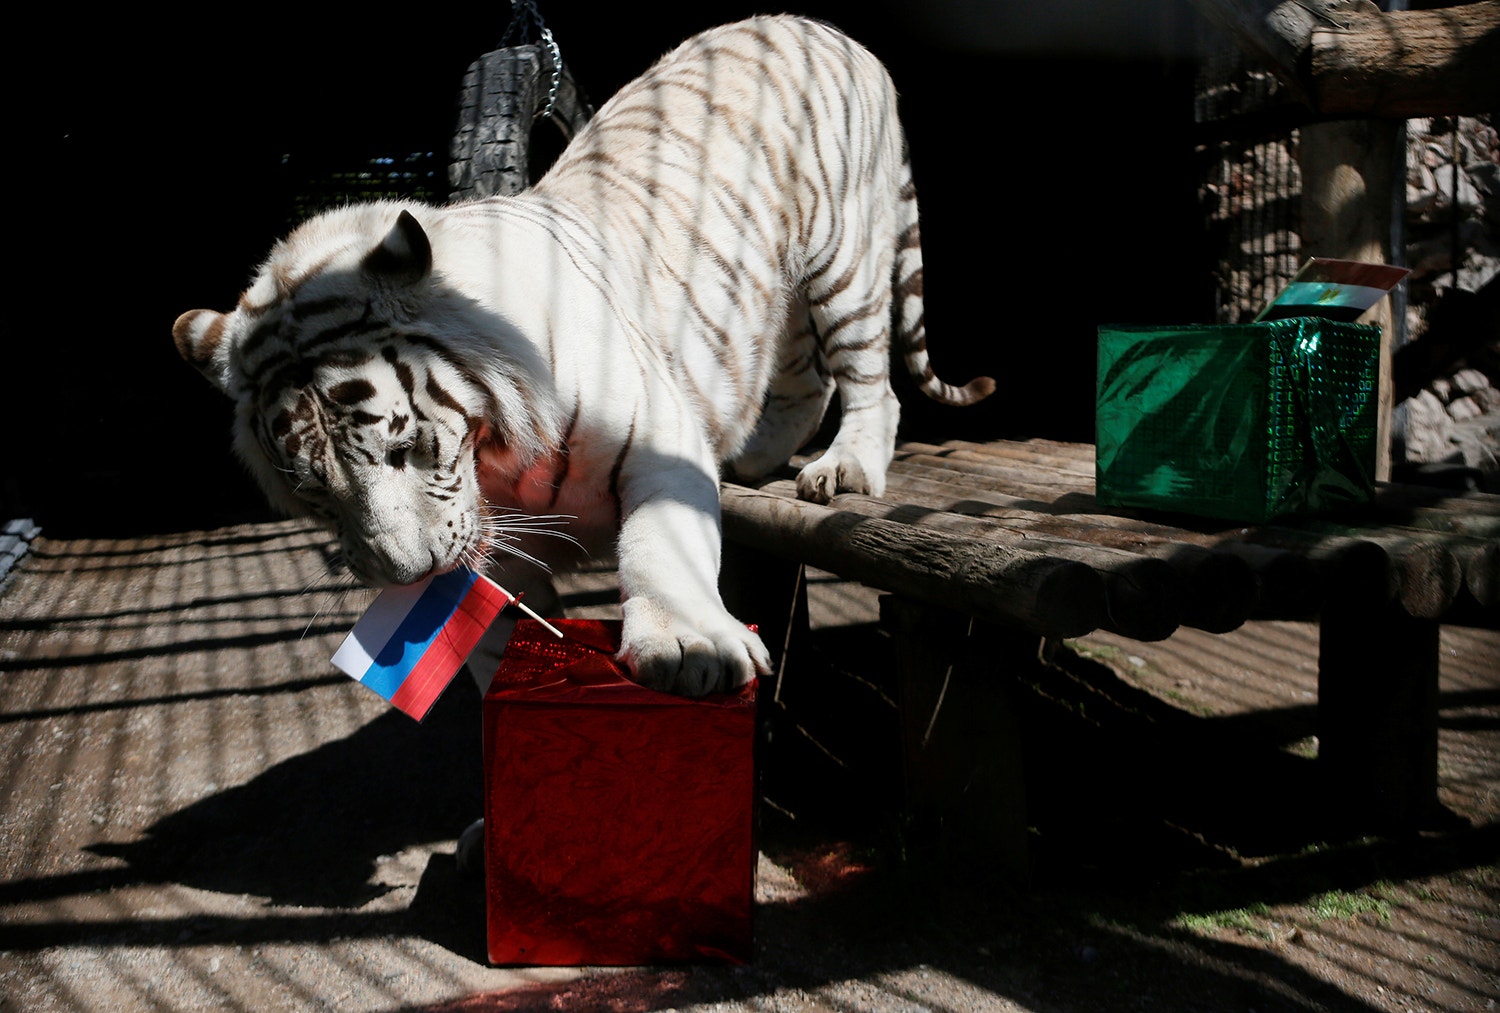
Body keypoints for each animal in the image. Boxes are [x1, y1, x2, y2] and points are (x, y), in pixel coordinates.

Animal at [172, 14, 994, 700]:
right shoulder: (485, 545)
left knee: (870, 383)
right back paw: (755, 457)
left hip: (842, 262)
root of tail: (828, 28)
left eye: (408, 448)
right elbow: (494, 629)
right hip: (779, 303)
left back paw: (844, 469)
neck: (493, 456)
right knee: (807, 379)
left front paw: (688, 647)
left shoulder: (658, 437)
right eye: (312, 491)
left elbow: (662, 541)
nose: (410, 574)